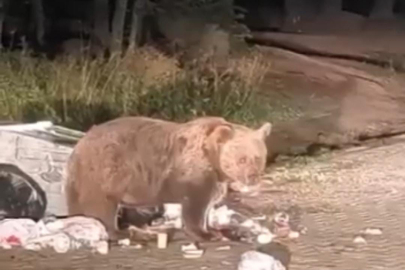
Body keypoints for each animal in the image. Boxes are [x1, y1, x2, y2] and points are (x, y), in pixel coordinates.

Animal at [64, 117, 272, 242]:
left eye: (258, 157)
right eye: (242, 159)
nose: (252, 177)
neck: (215, 162)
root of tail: (78, 146)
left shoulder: (215, 180)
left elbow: (208, 204)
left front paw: (213, 229)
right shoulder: (194, 175)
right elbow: (195, 206)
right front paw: (206, 233)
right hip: (106, 171)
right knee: (102, 207)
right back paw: (125, 232)